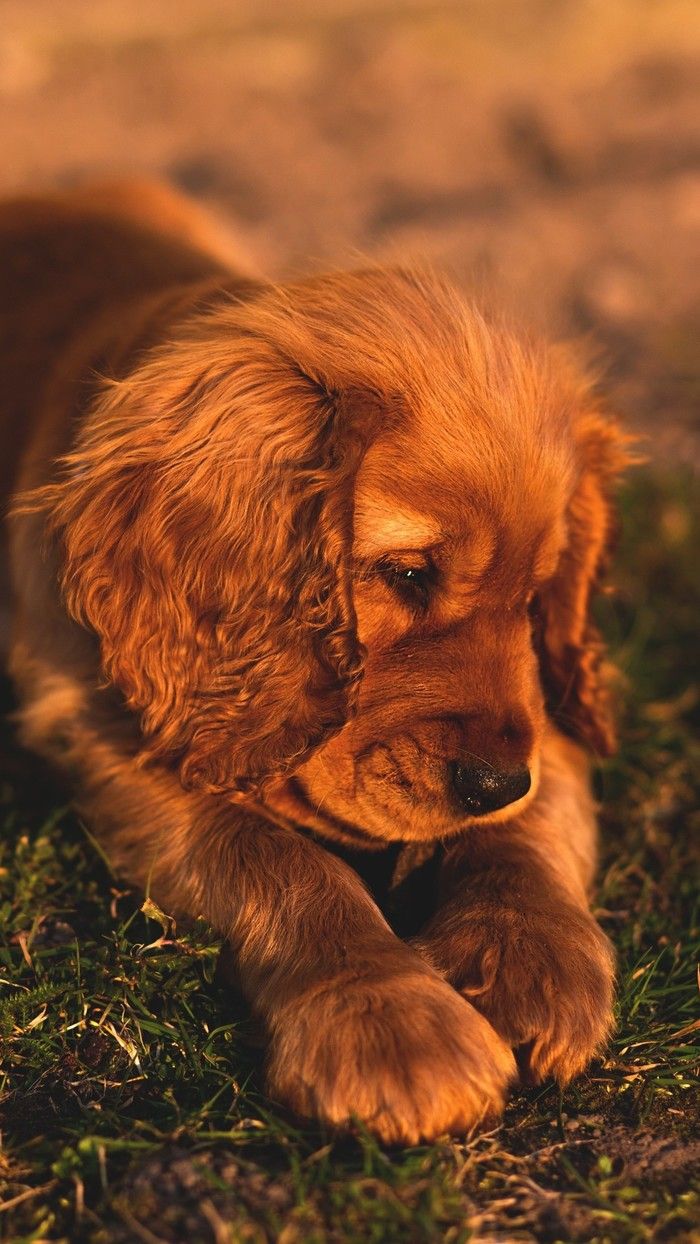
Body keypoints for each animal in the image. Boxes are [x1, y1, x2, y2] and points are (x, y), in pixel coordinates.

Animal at [0, 180, 629, 1139]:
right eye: (407, 573)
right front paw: (387, 1021)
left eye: (536, 599)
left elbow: (536, 810)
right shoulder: (112, 729)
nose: (490, 783)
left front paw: (529, 955)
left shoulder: (544, 709)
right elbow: (278, 857)